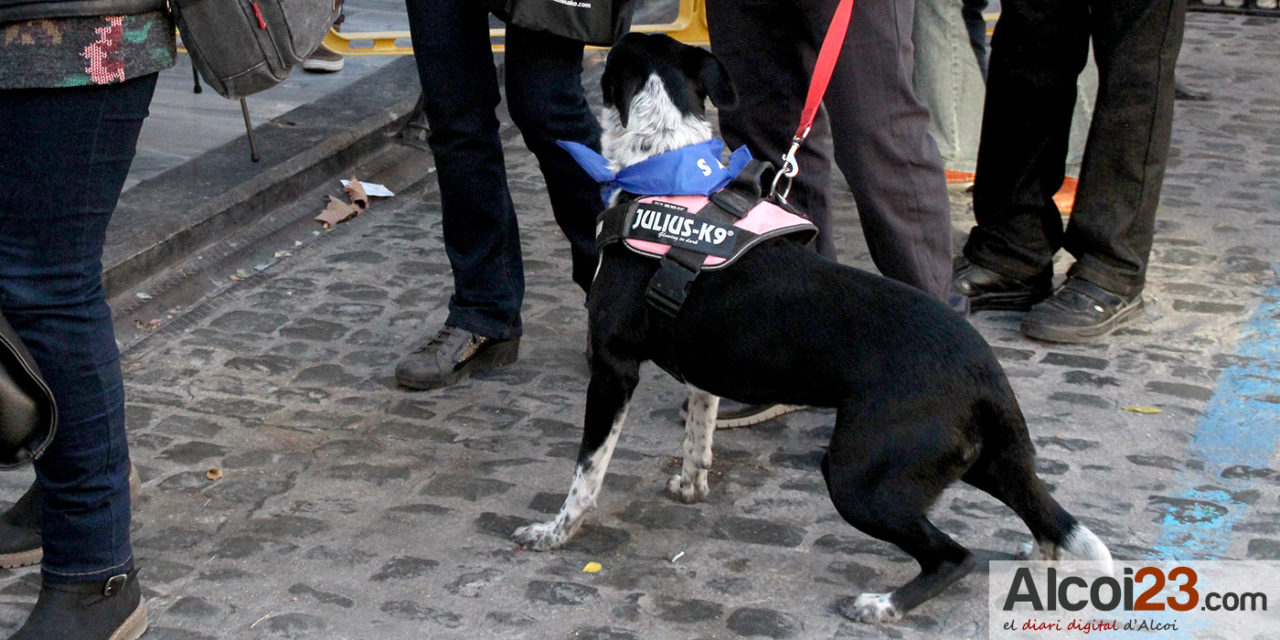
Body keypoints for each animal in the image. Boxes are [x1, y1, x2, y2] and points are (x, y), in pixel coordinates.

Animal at [509, 32, 1111, 622]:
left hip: (858, 476)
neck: (664, 173)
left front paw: (555, 533)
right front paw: (690, 486)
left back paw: (885, 604)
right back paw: (1036, 557)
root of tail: (987, 371)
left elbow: (586, 472)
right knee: (1046, 518)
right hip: (979, 459)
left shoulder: (613, 369)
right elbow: (698, 437)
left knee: (954, 555)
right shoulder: (703, 370)